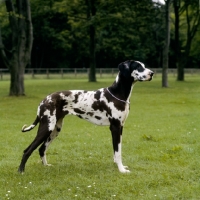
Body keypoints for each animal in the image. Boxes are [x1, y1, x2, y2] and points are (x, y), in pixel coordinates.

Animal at [18, 60, 153, 173]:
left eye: (144, 65)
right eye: (139, 67)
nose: (152, 73)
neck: (117, 93)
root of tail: (44, 100)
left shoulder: (121, 127)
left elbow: (117, 150)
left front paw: (119, 166)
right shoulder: (115, 127)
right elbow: (118, 152)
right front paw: (121, 170)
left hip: (55, 129)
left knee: (42, 149)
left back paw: (46, 166)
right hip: (47, 127)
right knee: (28, 150)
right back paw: (21, 171)